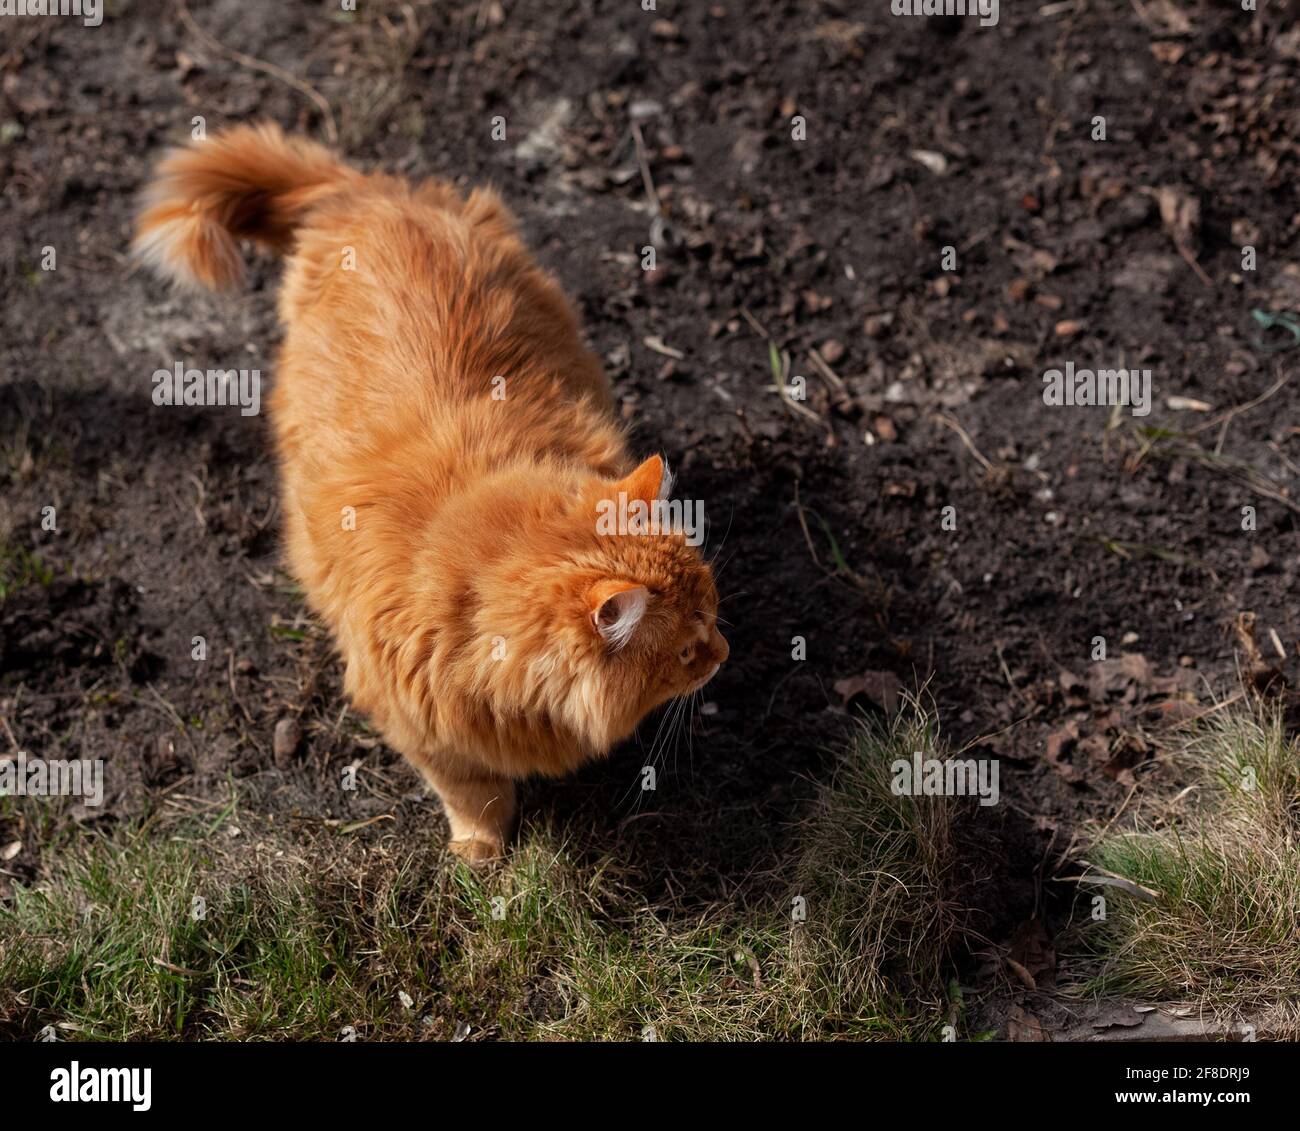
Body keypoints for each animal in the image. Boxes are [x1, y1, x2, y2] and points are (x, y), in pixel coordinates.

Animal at [135, 124, 728, 863]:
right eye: (687, 650)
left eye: (716, 613)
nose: (724, 655)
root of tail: (366, 195)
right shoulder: (422, 726)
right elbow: (474, 794)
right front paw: (482, 854)